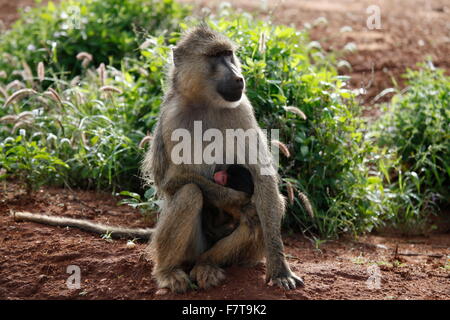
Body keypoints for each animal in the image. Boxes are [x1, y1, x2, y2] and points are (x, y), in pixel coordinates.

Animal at [141, 25, 302, 292]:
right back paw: (168, 272)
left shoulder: (243, 109)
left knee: (268, 208)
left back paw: (206, 266)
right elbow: (170, 181)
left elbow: (263, 178)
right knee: (190, 193)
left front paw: (280, 269)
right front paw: (238, 202)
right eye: (215, 56)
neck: (206, 102)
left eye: (229, 54)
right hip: (192, 248)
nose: (238, 77)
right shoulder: (172, 117)